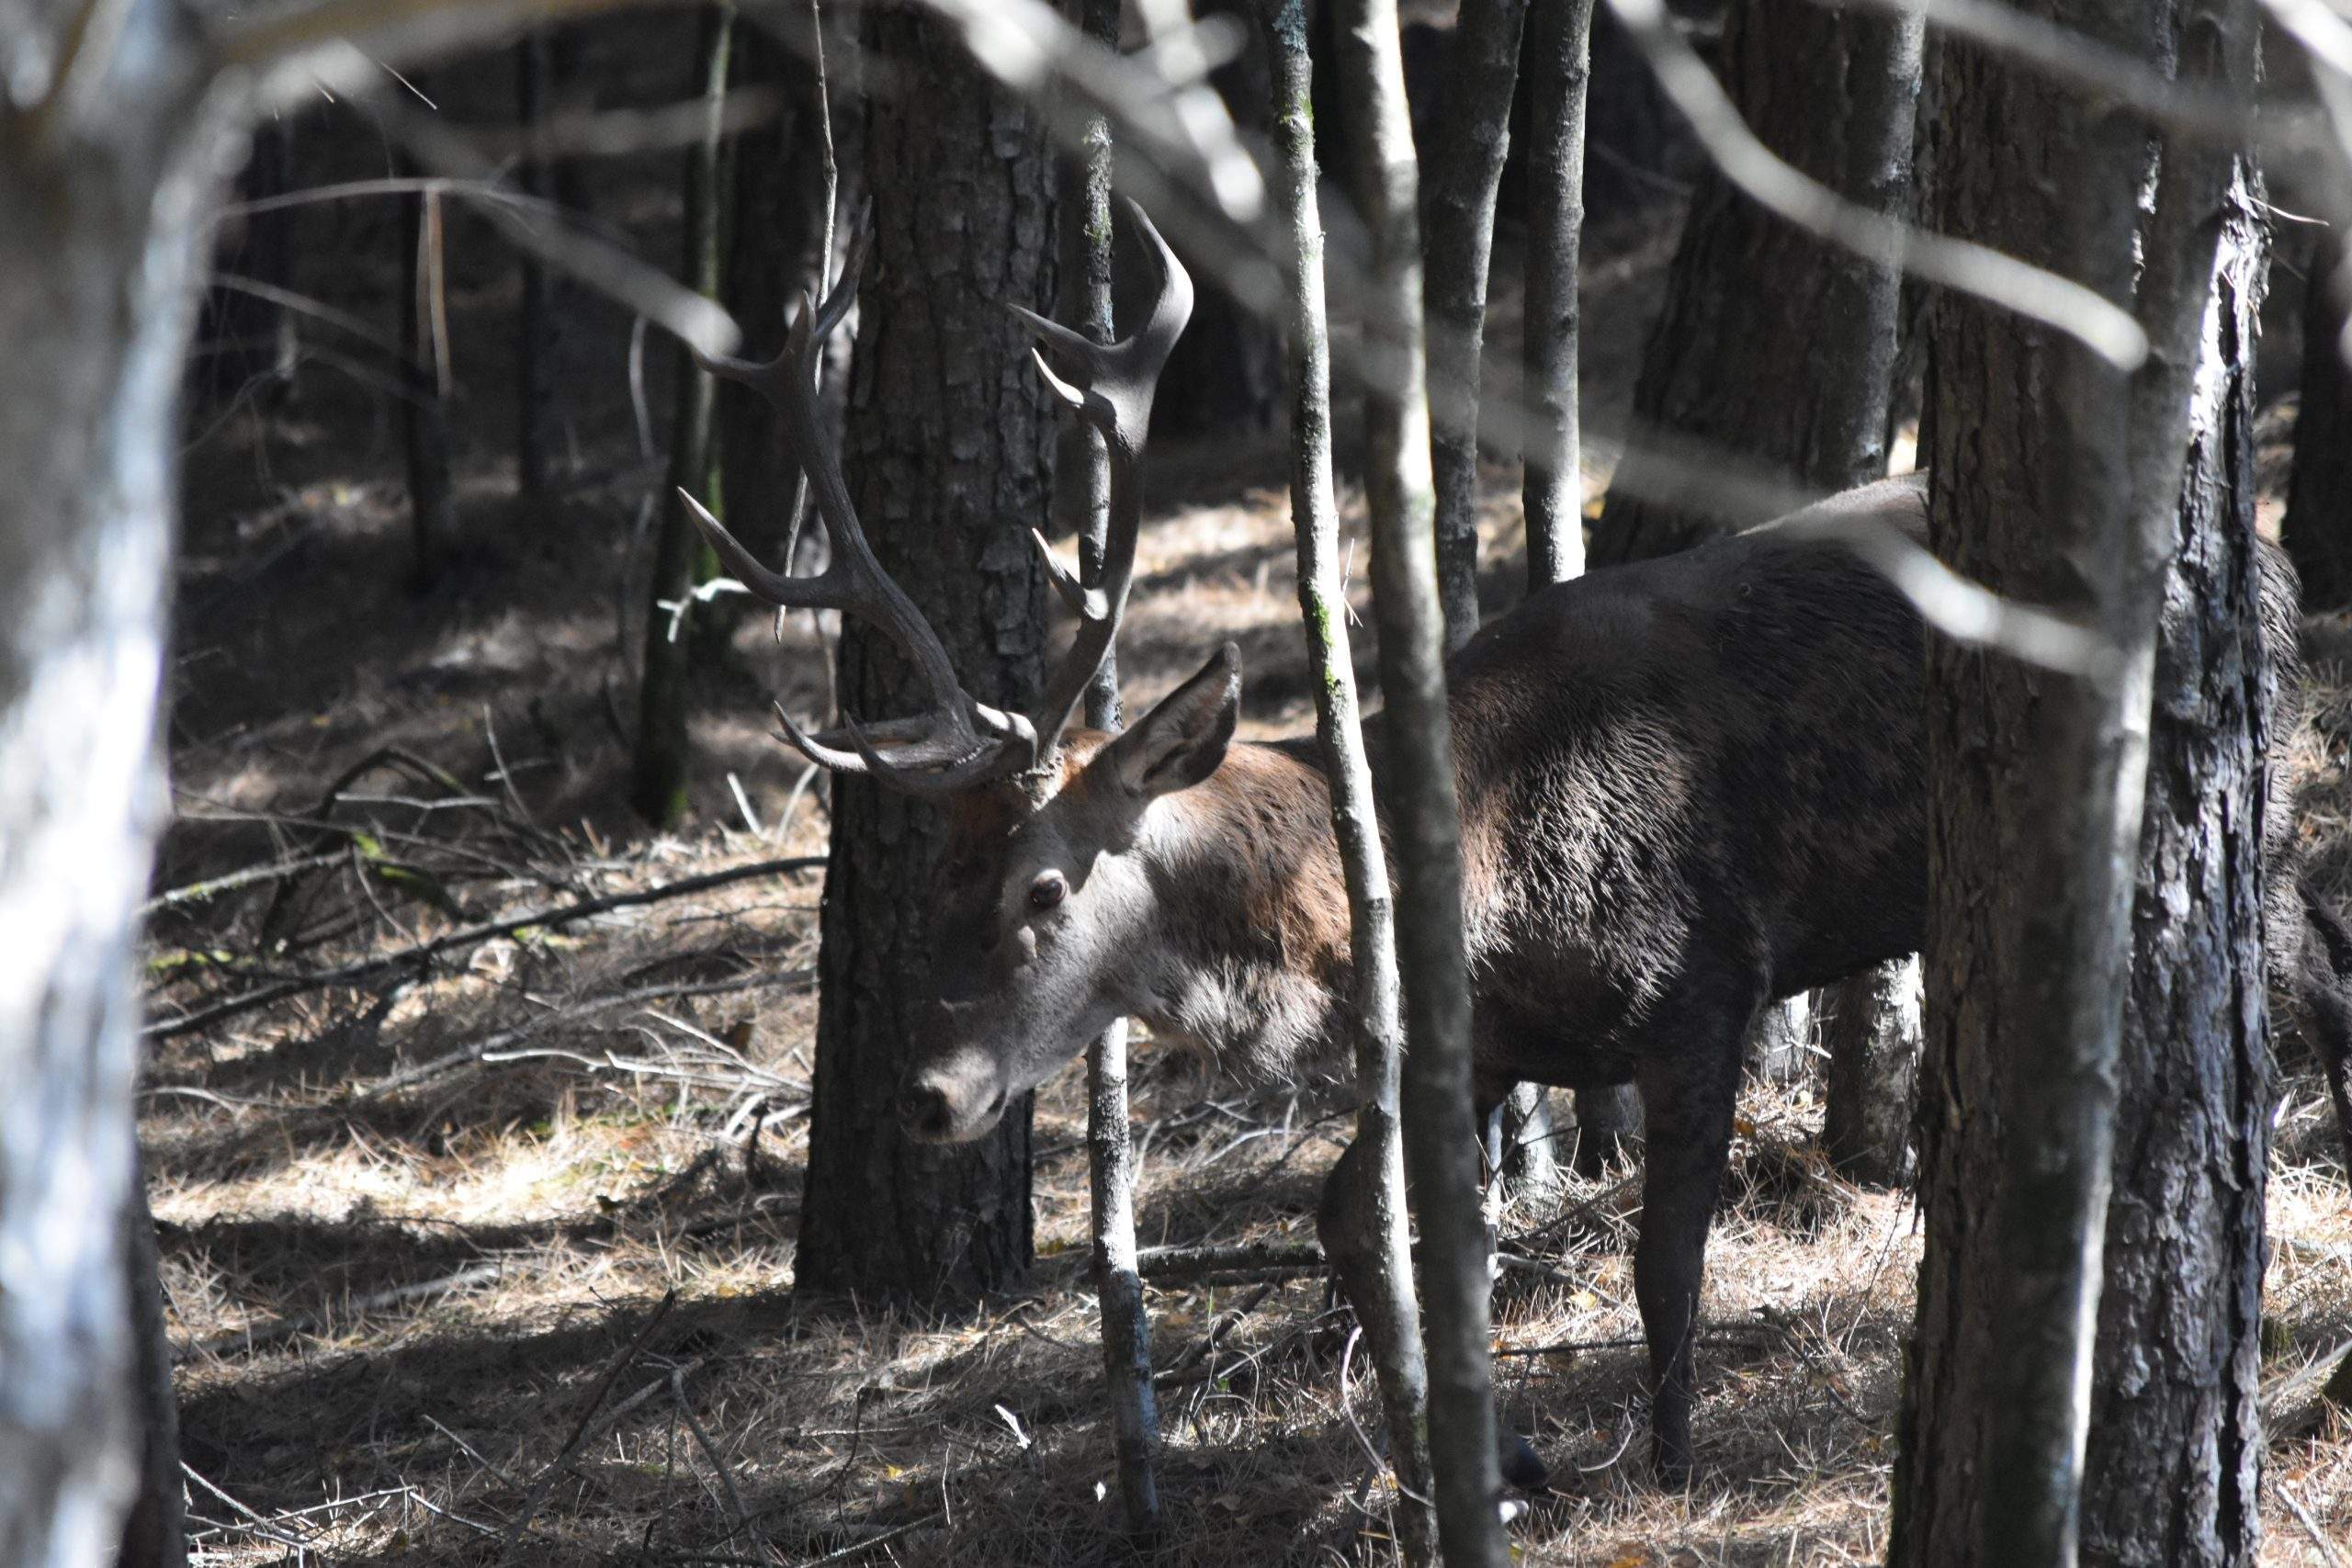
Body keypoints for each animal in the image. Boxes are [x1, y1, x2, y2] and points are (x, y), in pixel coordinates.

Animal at [685, 205, 2352, 1487]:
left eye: (1041, 884)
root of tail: (2271, 557)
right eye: (938, 882)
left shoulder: (1703, 981)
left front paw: (1666, 1459)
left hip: (2255, 797)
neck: (1476, 883)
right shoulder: (1478, 1038)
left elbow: (1665, 1251)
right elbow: (1358, 1217)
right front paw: (1487, 1459)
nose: (929, 1091)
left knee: (2296, 965)